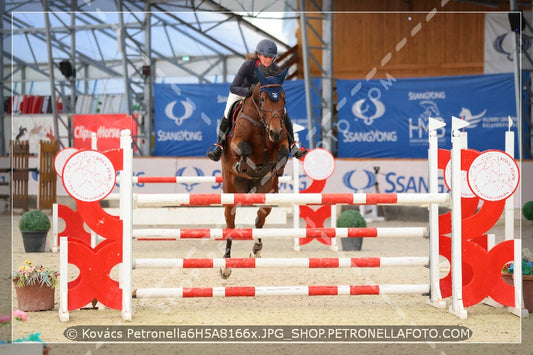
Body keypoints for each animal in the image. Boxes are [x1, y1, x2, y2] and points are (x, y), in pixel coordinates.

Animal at [218, 66, 288, 278]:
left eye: (284, 98)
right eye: (262, 99)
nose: (274, 132)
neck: (261, 124)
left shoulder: (282, 140)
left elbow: (284, 151)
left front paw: (277, 167)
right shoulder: (236, 141)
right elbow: (243, 147)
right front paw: (243, 164)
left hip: (268, 191)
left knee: (260, 217)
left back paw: (256, 248)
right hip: (231, 190)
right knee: (230, 223)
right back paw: (226, 265)